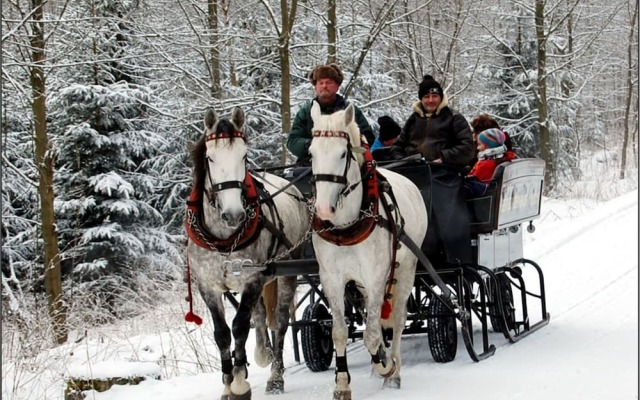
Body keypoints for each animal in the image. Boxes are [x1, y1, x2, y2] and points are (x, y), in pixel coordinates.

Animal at [186, 107, 308, 400]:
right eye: (210, 157)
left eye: (243, 156)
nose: (234, 215)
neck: (222, 238)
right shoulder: (208, 285)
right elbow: (222, 333)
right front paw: (227, 383)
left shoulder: (252, 279)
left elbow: (240, 326)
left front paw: (240, 383)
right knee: (261, 315)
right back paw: (263, 353)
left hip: (288, 270)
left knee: (281, 322)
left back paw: (275, 375)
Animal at [308, 101, 428, 400]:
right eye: (311, 153)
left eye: (342, 154)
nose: (324, 210)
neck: (345, 226)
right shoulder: (332, 279)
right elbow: (340, 332)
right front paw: (341, 384)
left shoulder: (376, 278)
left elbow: (372, 335)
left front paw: (387, 366)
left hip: (406, 269)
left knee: (397, 320)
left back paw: (393, 368)